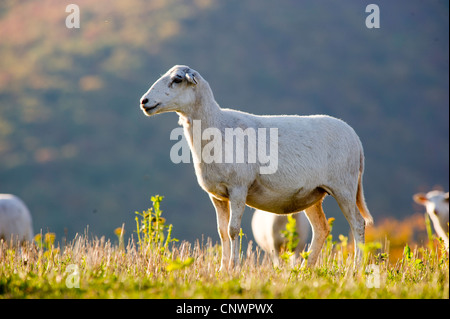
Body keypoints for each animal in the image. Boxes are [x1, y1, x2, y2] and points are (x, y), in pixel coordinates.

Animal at [140, 65, 372, 272]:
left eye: (177, 79)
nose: (144, 102)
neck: (216, 126)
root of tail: (357, 139)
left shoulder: (238, 188)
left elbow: (233, 230)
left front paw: (234, 267)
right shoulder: (217, 196)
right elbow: (222, 232)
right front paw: (222, 270)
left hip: (344, 187)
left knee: (358, 224)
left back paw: (355, 269)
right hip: (315, 194)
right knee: (321, 229)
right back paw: (306, 269)